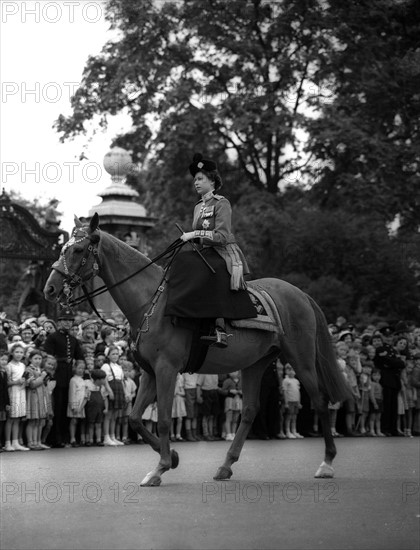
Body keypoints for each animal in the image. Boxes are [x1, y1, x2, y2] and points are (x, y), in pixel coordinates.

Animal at [44, 215, 350, 488]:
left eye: (78, 249)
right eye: (63, 248)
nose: (50, 289)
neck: (152, 302)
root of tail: (300, 293)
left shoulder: (166, 370)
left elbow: (163, 420)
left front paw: (160, 468)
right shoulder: (150, 372)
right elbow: (135, 418)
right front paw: (173, 457)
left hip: (302, 359)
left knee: (320, 401)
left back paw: (327, 463)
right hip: (256, 363)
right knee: (250, 410)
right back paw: (225, 466)